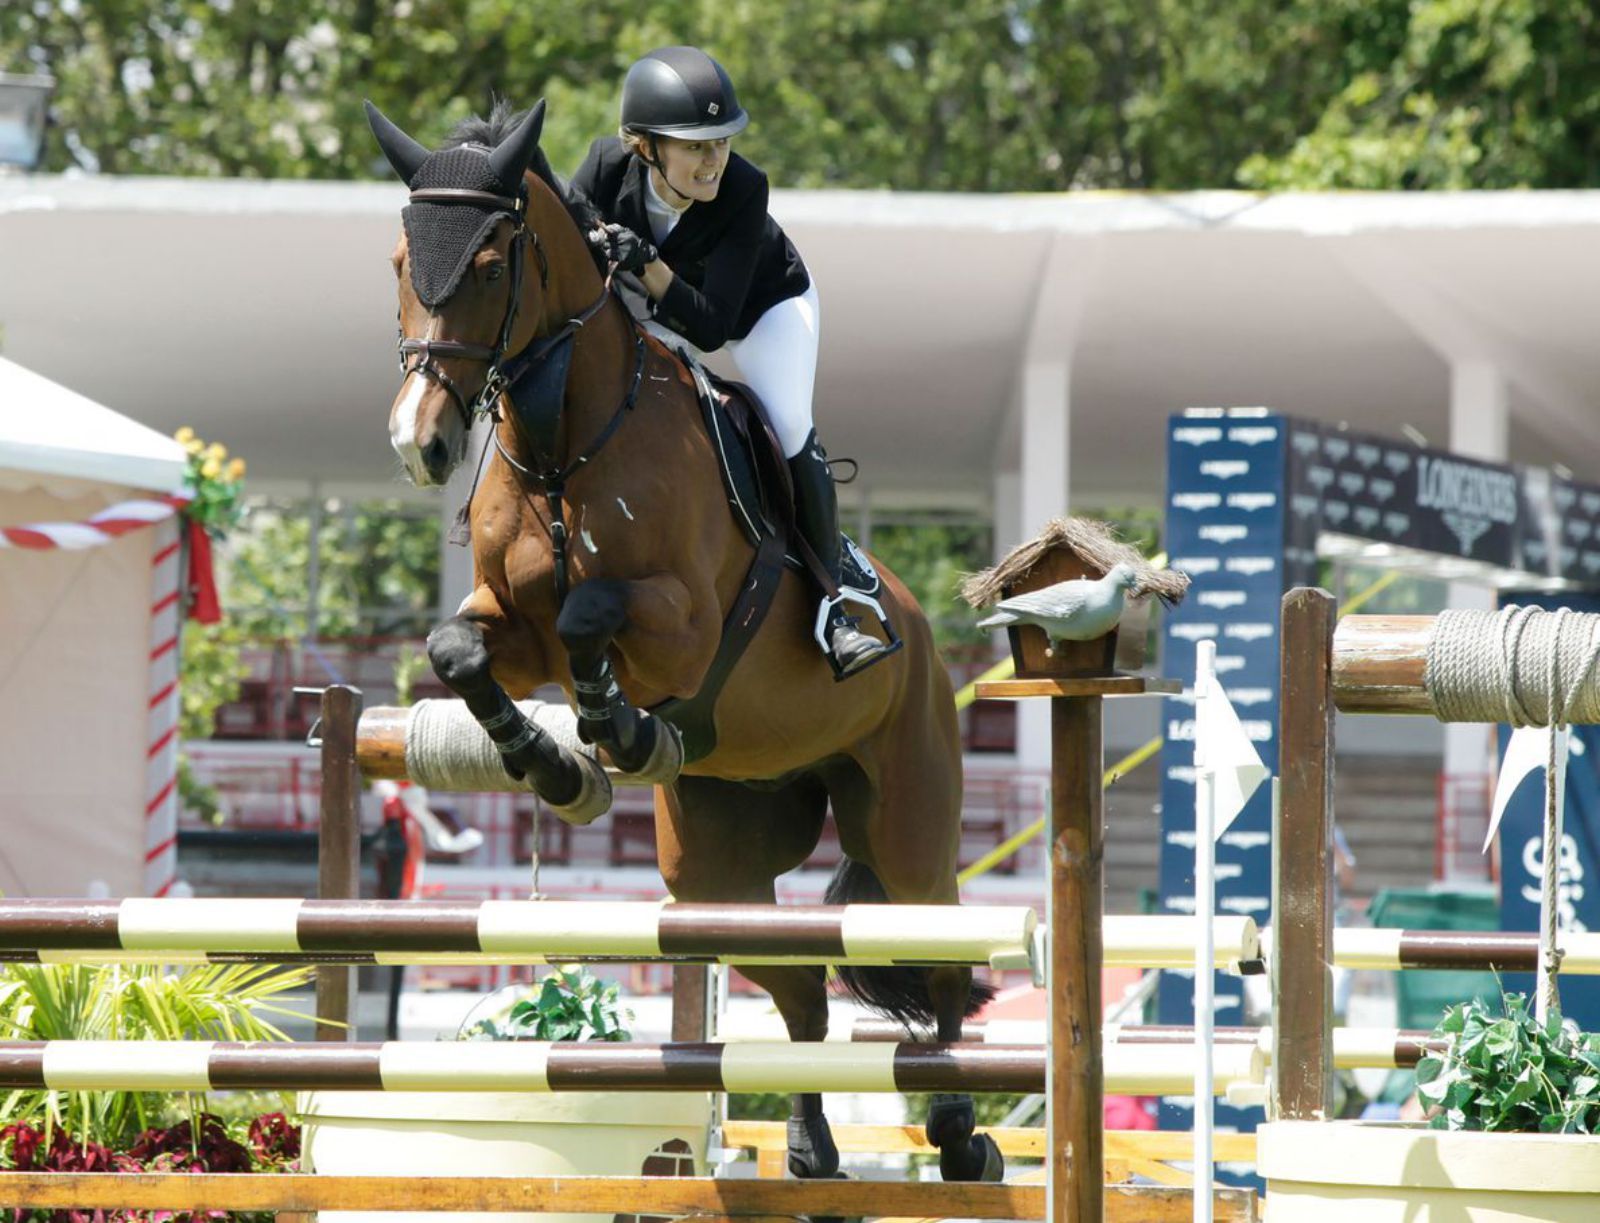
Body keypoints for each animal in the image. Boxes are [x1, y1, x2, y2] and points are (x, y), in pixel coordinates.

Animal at [366, 98, 998, 1184]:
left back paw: (960, 1130)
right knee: (800, 989)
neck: (564, 445)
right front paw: (559, 766)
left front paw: (619, 731)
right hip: (714, 866)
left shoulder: (686, 622)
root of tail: (916, 624)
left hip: (908, 818)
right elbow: (460, 651)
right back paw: (811, 1144)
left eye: (490, 262)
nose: (421, 443)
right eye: (404, 261)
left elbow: (592, 616)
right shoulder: (510, 624)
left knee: (938, 951)